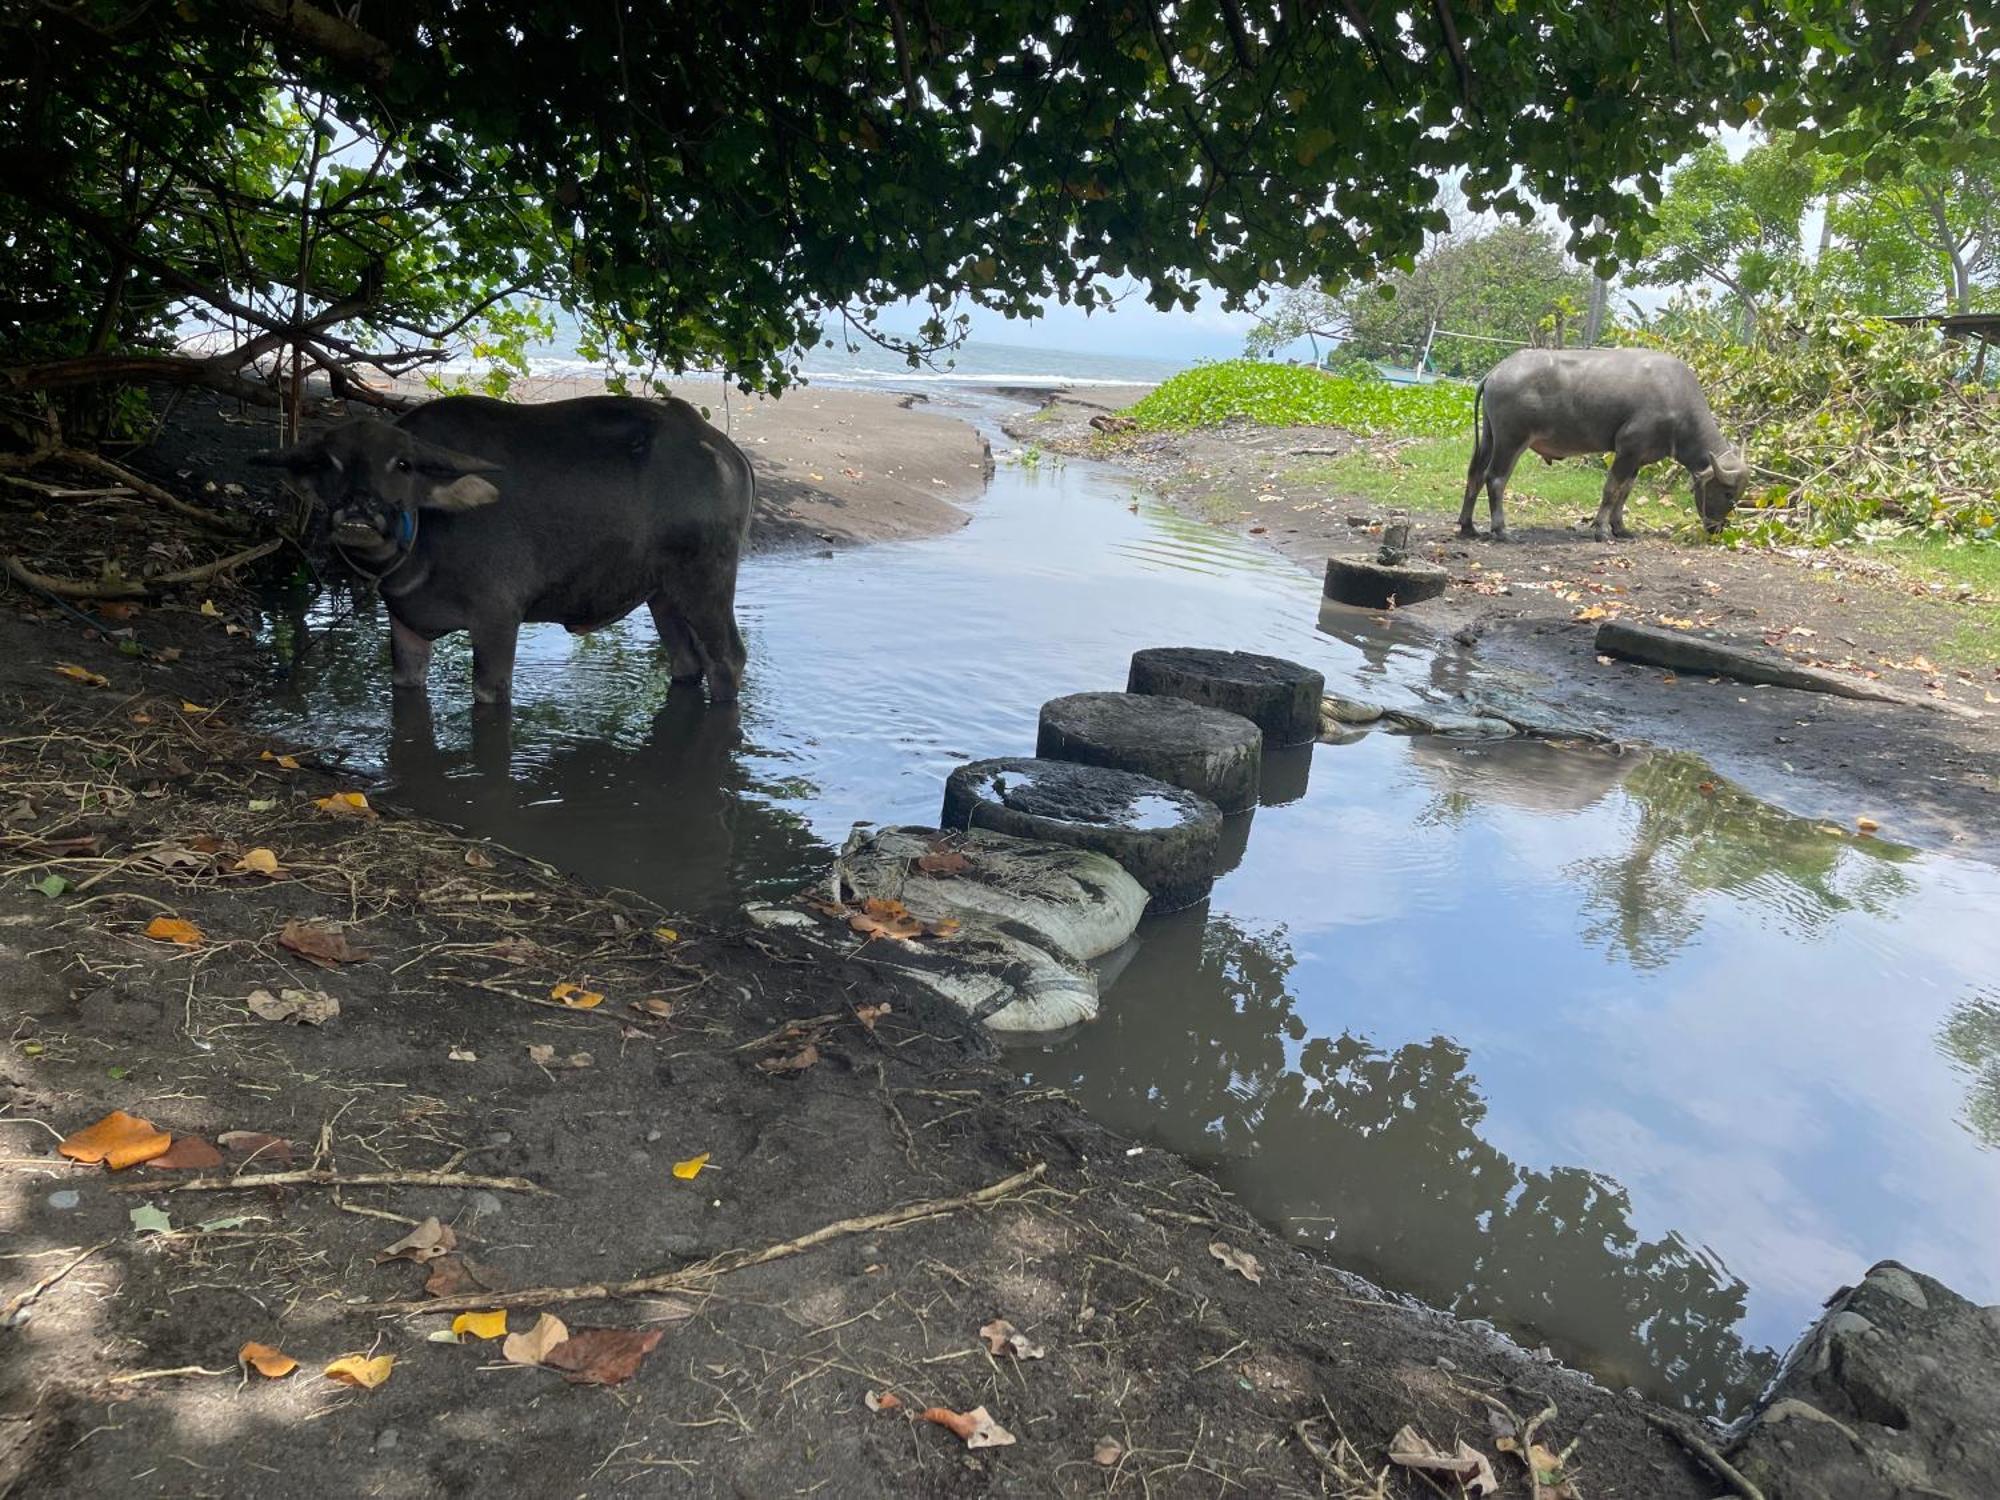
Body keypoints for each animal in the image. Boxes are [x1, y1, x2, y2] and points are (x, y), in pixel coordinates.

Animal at [250, 396, 752, 708]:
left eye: (402, 464)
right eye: (327, 463)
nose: (358, 510)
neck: (424, 543)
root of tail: (721, 448)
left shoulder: (497, 620)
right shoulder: (405, 627)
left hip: (706, 580)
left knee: (726, 659)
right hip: (662, 593)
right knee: (686, 662)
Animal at [1456, 348, 1752, 548]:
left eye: (1737, 496)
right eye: (1728, 494)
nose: (1717, 529)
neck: (1676, 401)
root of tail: (1497, 371)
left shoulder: (1638, 458)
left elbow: (1625, 492)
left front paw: (1620, 528)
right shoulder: (1628, 449)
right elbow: (1611, 490)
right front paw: (1600, 530)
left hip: (1489, 436)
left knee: (1474, 474)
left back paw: (1468, 526)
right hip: (1512, 440)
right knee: (1495, 478)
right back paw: (1501, 530)